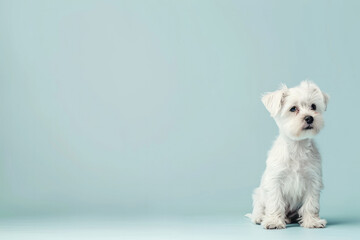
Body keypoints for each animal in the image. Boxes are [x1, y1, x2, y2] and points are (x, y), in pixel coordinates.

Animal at [248, 80, 330, 229]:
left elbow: (311, 204)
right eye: (293, 109)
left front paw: (312, 221)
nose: (309, 118)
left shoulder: (313, 181)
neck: (297, 147)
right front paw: (274, 221)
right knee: (258, 208)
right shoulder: (275, 181)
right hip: (259, 195)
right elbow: (275, 203)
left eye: (313, 106)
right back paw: (259, 217)